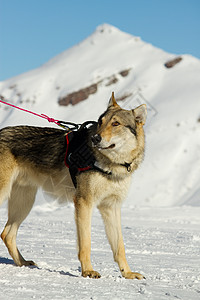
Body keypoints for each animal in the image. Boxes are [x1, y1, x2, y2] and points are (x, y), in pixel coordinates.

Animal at [0, 93, 147, 278]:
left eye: (116, 123)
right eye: (100, 121)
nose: (95, 138)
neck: (111, 165)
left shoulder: (111, 207)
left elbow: (120, 247)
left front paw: (127, 274)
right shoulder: (84, 203)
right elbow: (85, 244)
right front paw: (88, 271)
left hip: (25, 203)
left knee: (7, 234)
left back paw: (23, 263)